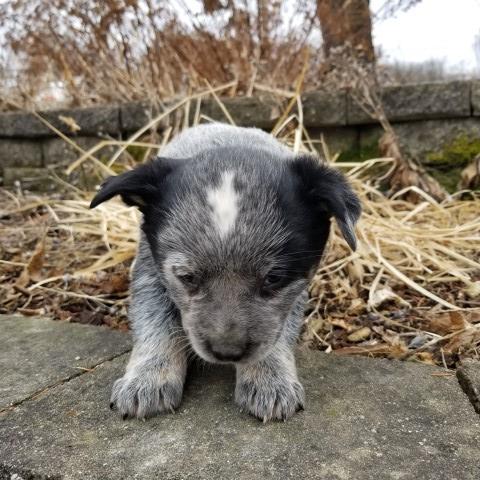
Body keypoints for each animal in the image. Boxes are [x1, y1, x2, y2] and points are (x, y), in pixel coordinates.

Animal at [90, 123, 360, 420]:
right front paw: (148, 379)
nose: (227, 352)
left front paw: (269, 379)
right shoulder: (150, 268)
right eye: (188, 277)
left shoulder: (296, 289)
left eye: (274, 278)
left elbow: (278, 329)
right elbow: (155, 321)